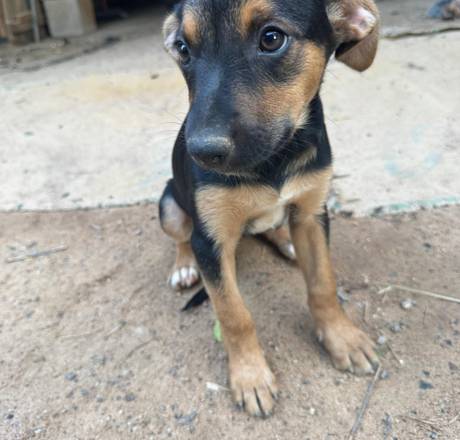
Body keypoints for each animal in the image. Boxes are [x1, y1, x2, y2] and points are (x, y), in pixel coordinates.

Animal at [159, 0, 380, 417]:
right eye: (182, 48)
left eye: (272, 38)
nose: (202, 152)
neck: (274, 161)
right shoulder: (209, 239)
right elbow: (234, 315)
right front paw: (250, 377)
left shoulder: (312, 213)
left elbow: (323, 284)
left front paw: (343, 339)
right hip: (168, 203)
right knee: (180, 235)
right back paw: (183, 266)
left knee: (274, 226)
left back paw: (285, 241)